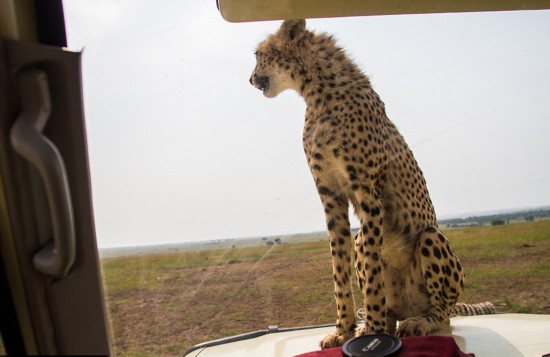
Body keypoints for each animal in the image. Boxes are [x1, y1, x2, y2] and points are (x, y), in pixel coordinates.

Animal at [249, 20, 492, 348]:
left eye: (258, 55)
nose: (250, 79)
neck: (317, 91)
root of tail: (407, 308)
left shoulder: (369, 194)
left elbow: (374, 269)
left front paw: (373, 328)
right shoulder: (331, 196)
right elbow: (339, 267)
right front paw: (344, 330)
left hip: (431, 239)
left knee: (443, 313)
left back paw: (416, 321)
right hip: (362, 242)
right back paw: (380, 321)